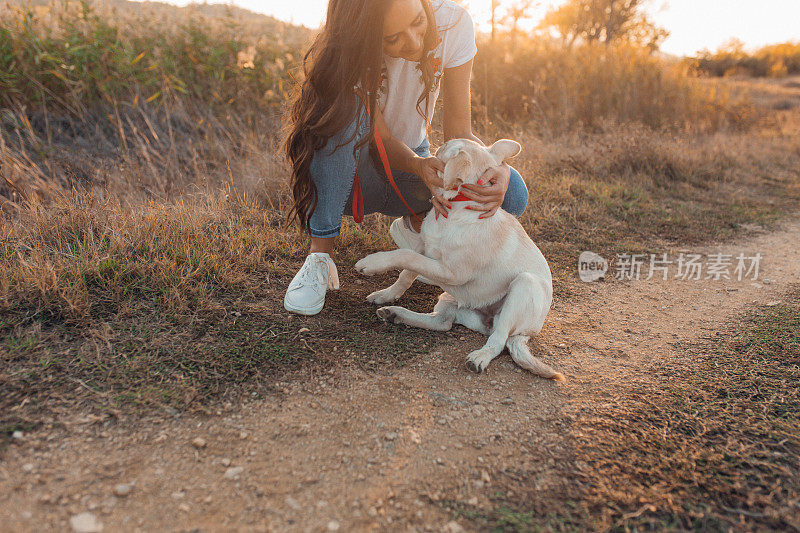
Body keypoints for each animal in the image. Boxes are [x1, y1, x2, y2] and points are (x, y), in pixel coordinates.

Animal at [356, 139, 564, 380]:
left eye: (446, 146)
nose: (436, 144)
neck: (457, 207)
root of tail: (525, 333)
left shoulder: (451, 273)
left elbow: (405, 256)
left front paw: (372, 263)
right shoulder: (424, 245)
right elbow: (406, 273)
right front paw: (386, 294)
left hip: (524, 285)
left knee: (500, 339)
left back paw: (480, 357)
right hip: (450, 299)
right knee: (443, 322)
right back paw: (395, 314)